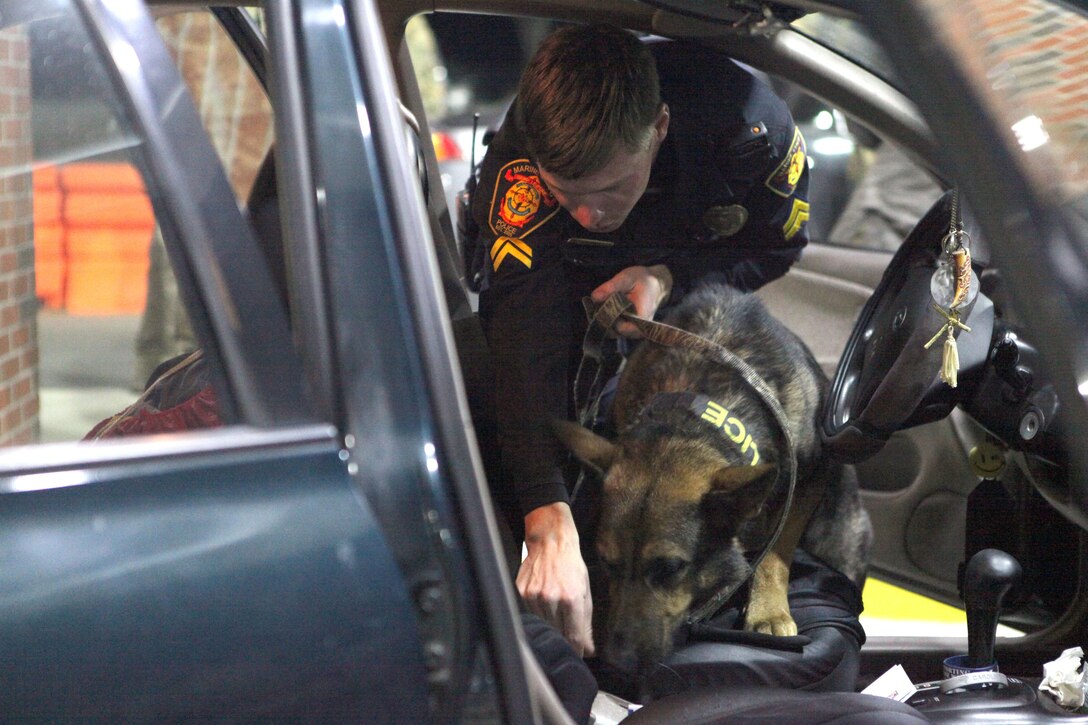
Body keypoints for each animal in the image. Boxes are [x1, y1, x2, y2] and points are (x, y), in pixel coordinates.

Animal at [557, 283, 870, 670]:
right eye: (607, 563)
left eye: (670, 568)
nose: (618, 663)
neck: (698, 412)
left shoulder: (808, 481)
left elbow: (776, 551)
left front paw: (768, 610)